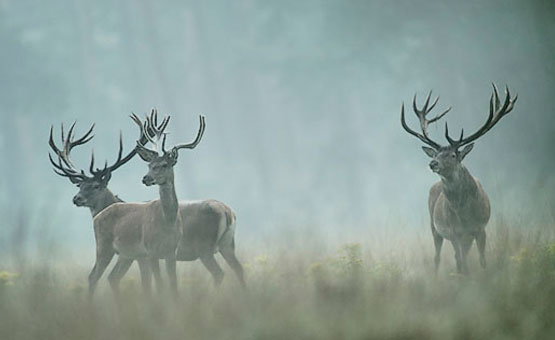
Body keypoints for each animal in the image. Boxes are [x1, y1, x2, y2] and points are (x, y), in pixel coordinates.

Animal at [402, 83, 520, 274]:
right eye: (436, 154)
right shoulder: (454, 232)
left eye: (452, 155)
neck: (465, 213)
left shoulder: (480, 228)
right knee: (440, 257)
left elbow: (482, 260)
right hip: (435, 228)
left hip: (465, 236)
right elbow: (463, 263)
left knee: (459, 256)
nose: (432, 163)